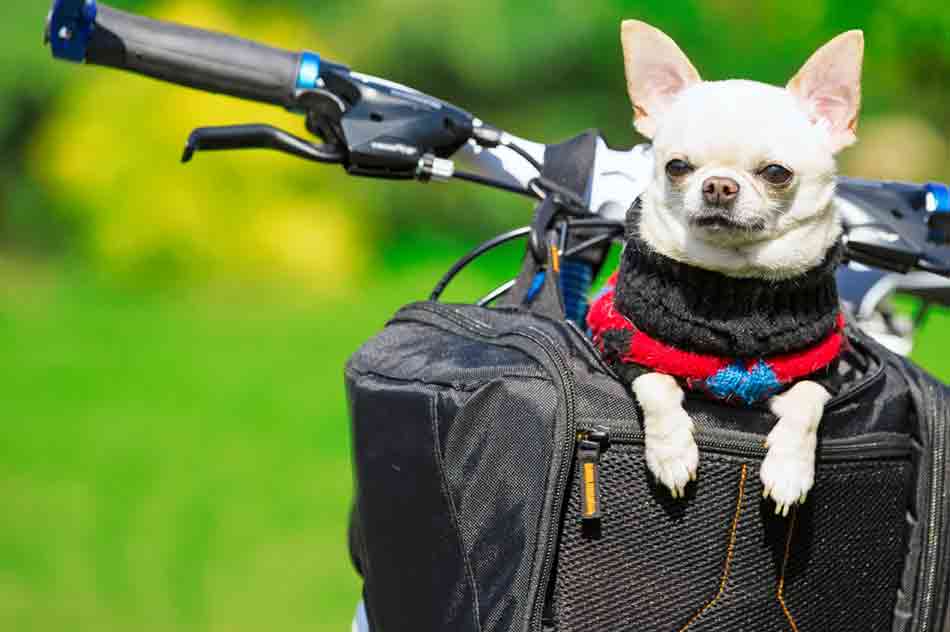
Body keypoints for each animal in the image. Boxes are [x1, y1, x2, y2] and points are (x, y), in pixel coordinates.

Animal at [592, 21, 868, 512]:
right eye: (677, 167)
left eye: (776, 172)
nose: (719, 185)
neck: (735, 281)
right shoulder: (627, 347)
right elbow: (658, 388)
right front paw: (672, 452)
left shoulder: (820, 373)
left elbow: (806, 408)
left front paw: (789, 469)